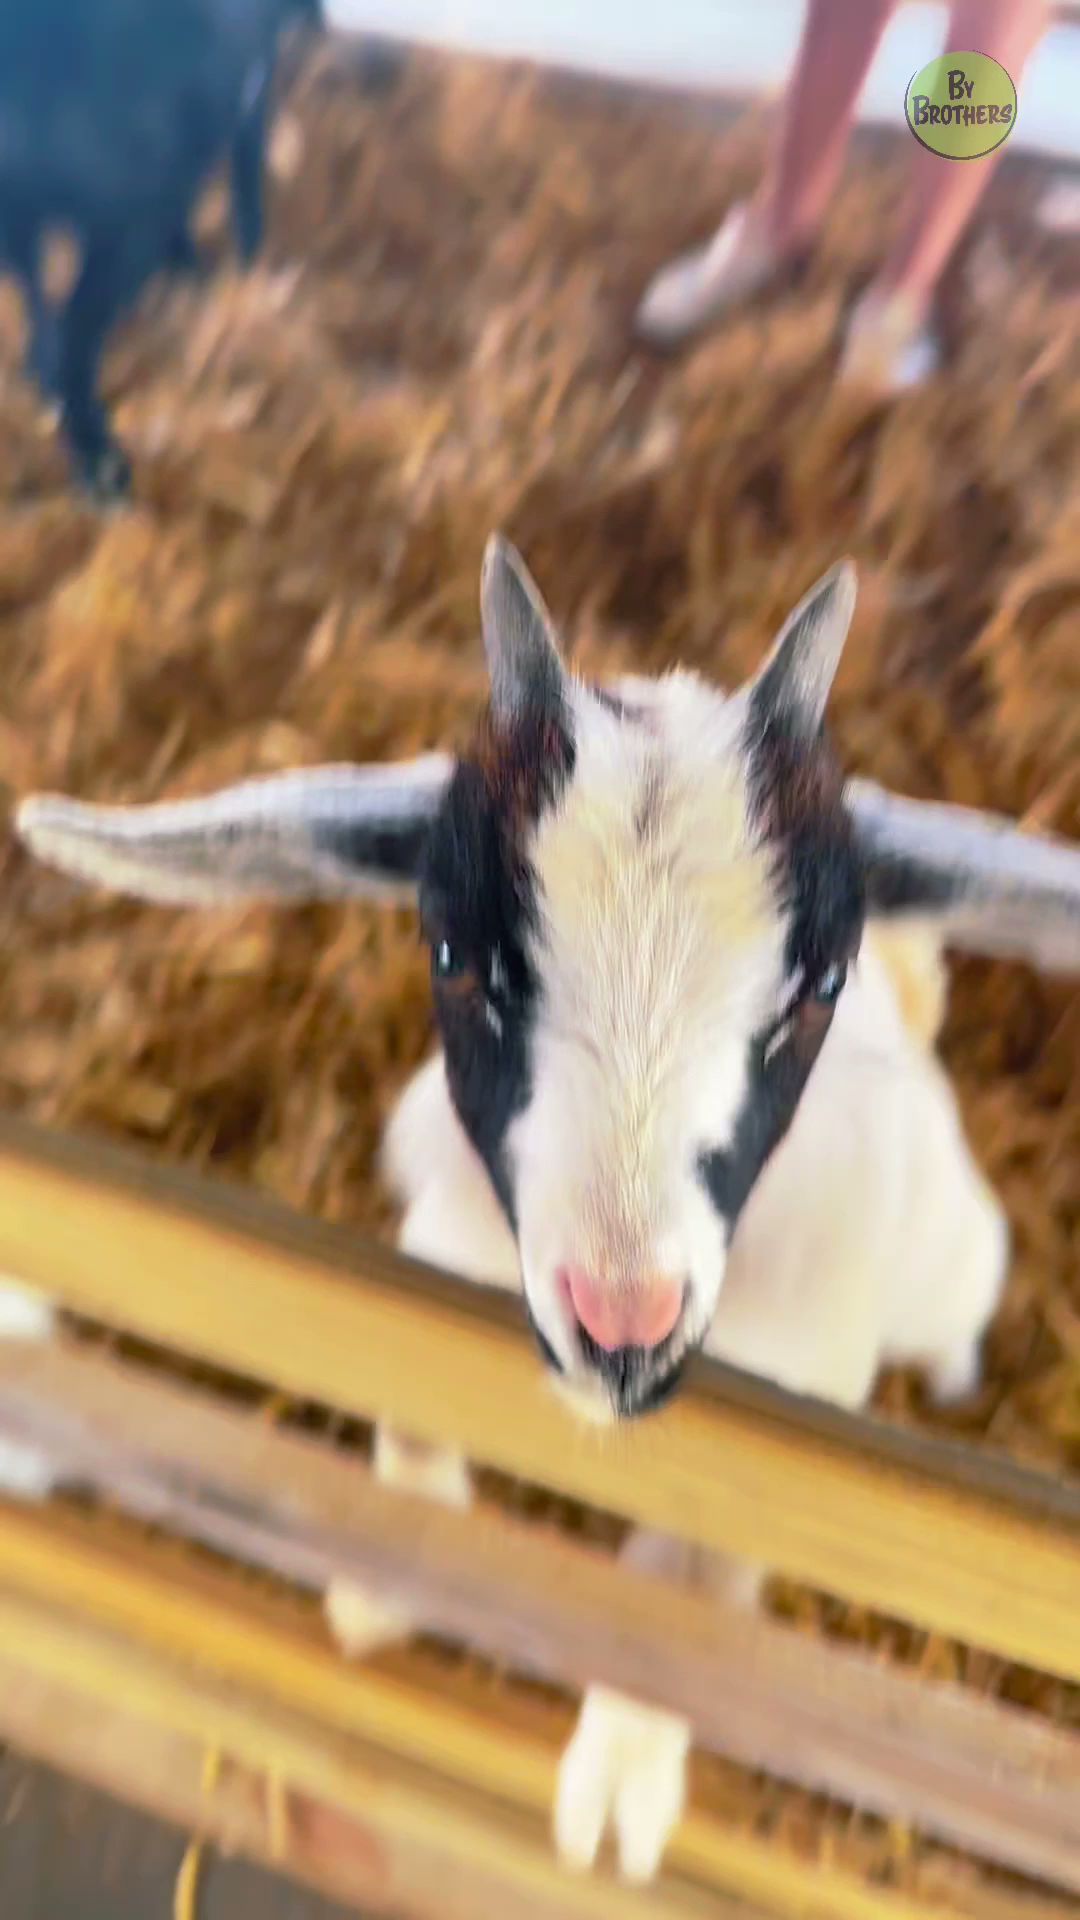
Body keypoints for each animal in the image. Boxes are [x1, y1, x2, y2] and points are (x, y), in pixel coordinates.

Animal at [11, 538, 1080, 1882]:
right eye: (453, 953)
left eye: (816, 985)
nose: (623, 1324)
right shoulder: (435, 1260)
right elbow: (410, 1415)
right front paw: (384, 1583)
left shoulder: (805, 1412)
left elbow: (691, 1589)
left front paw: (622, 1783)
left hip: (952, 1265)